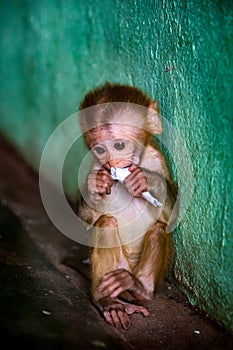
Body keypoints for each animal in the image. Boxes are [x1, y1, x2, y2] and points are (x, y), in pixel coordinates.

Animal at [77, 82, 177, 328]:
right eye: (100, 150)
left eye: (119, 145)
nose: (113, 162)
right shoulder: (97, 166)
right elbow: (86, 223)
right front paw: (95, 185)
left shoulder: (158, 159)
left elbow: (172, 217)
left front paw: (146, 180)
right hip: (113, 271)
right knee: (106, 223)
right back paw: (107, 300)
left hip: (135, 273)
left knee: (158, 229)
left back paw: (140, 289)